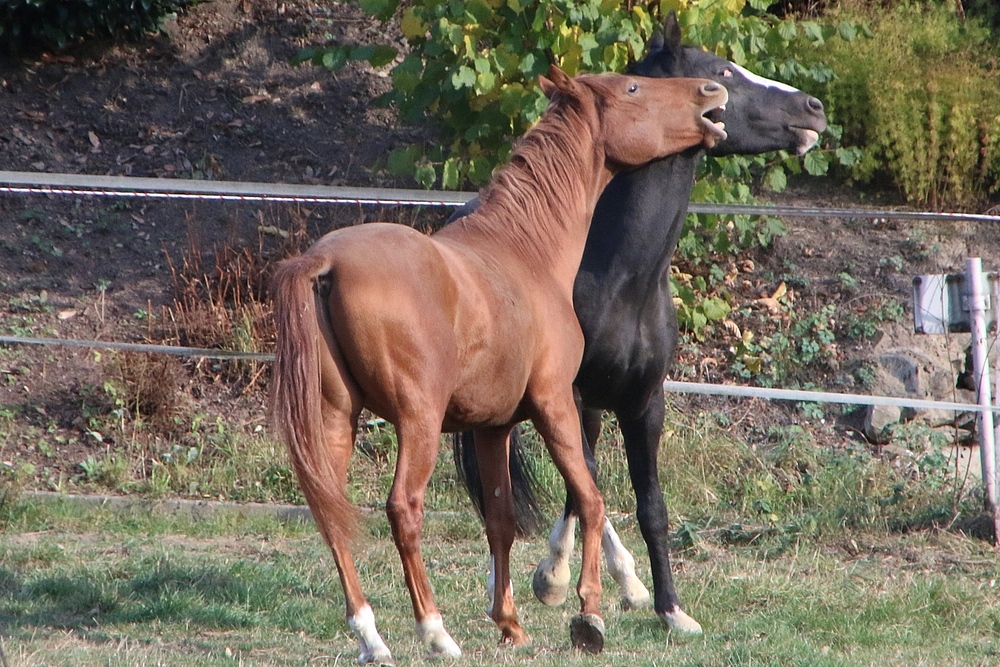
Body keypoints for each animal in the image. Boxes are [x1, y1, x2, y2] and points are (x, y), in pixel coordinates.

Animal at [272, 64, 728, 664]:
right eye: (633, 87)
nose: (711, 91)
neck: (524, 250)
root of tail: (324, 261)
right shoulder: (557, 405)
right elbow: (591, 500)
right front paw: (588, 613)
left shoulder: (493, 429)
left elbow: (501, 521)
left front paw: (510, 623)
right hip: (418, 424)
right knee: (403, 509)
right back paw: (436, 631)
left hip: (335, 420)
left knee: (331, 513)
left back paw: (372, 637)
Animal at [454, 13, 828, 636]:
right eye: (722, 72)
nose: (813, 109)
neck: (620, 275)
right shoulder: (572, 396)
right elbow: (588, 486)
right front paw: (559, 581)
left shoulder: (644, 401)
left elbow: (648, 505)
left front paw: (669, 608)